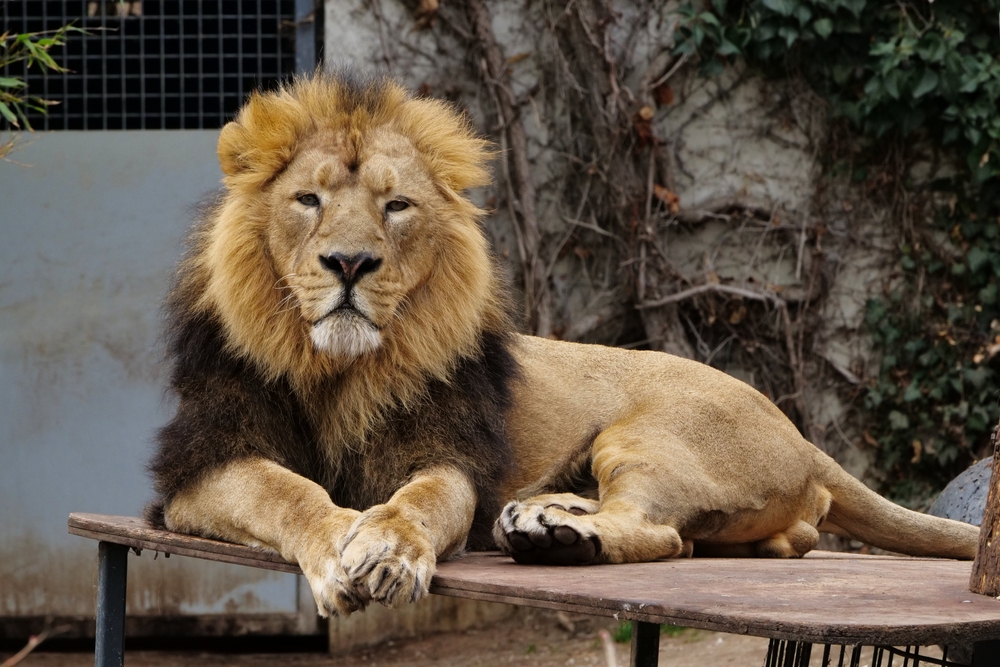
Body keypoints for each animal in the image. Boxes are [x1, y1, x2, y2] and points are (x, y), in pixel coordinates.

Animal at [145, 70, 980, 620]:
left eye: (396, 206)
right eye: (308, 199)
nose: (349, 262)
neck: (341, 367)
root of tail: (803, 438)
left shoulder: (446, 452)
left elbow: (417, 501)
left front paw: (387, 547)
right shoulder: (204, 463)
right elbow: (288, 492)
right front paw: (340, 543)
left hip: (648, 435)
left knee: (658, 532)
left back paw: (553, 535)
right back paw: (551, 514)